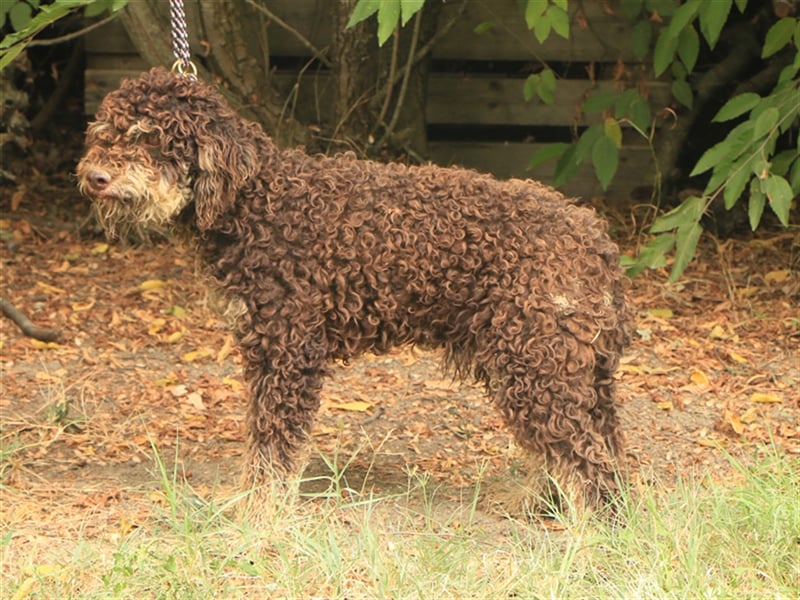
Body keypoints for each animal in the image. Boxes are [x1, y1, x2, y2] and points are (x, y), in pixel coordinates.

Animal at [78, 68, 628, 516]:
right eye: (104, 133)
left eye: (150, 137)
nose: (94, 176)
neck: (254, 200)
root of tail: (597, 241)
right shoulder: (268, 350)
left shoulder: (288, 351)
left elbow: (272, 449)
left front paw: (258, 517)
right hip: (557, 367)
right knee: (594, 453)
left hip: (535, 365)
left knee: (587, 462)